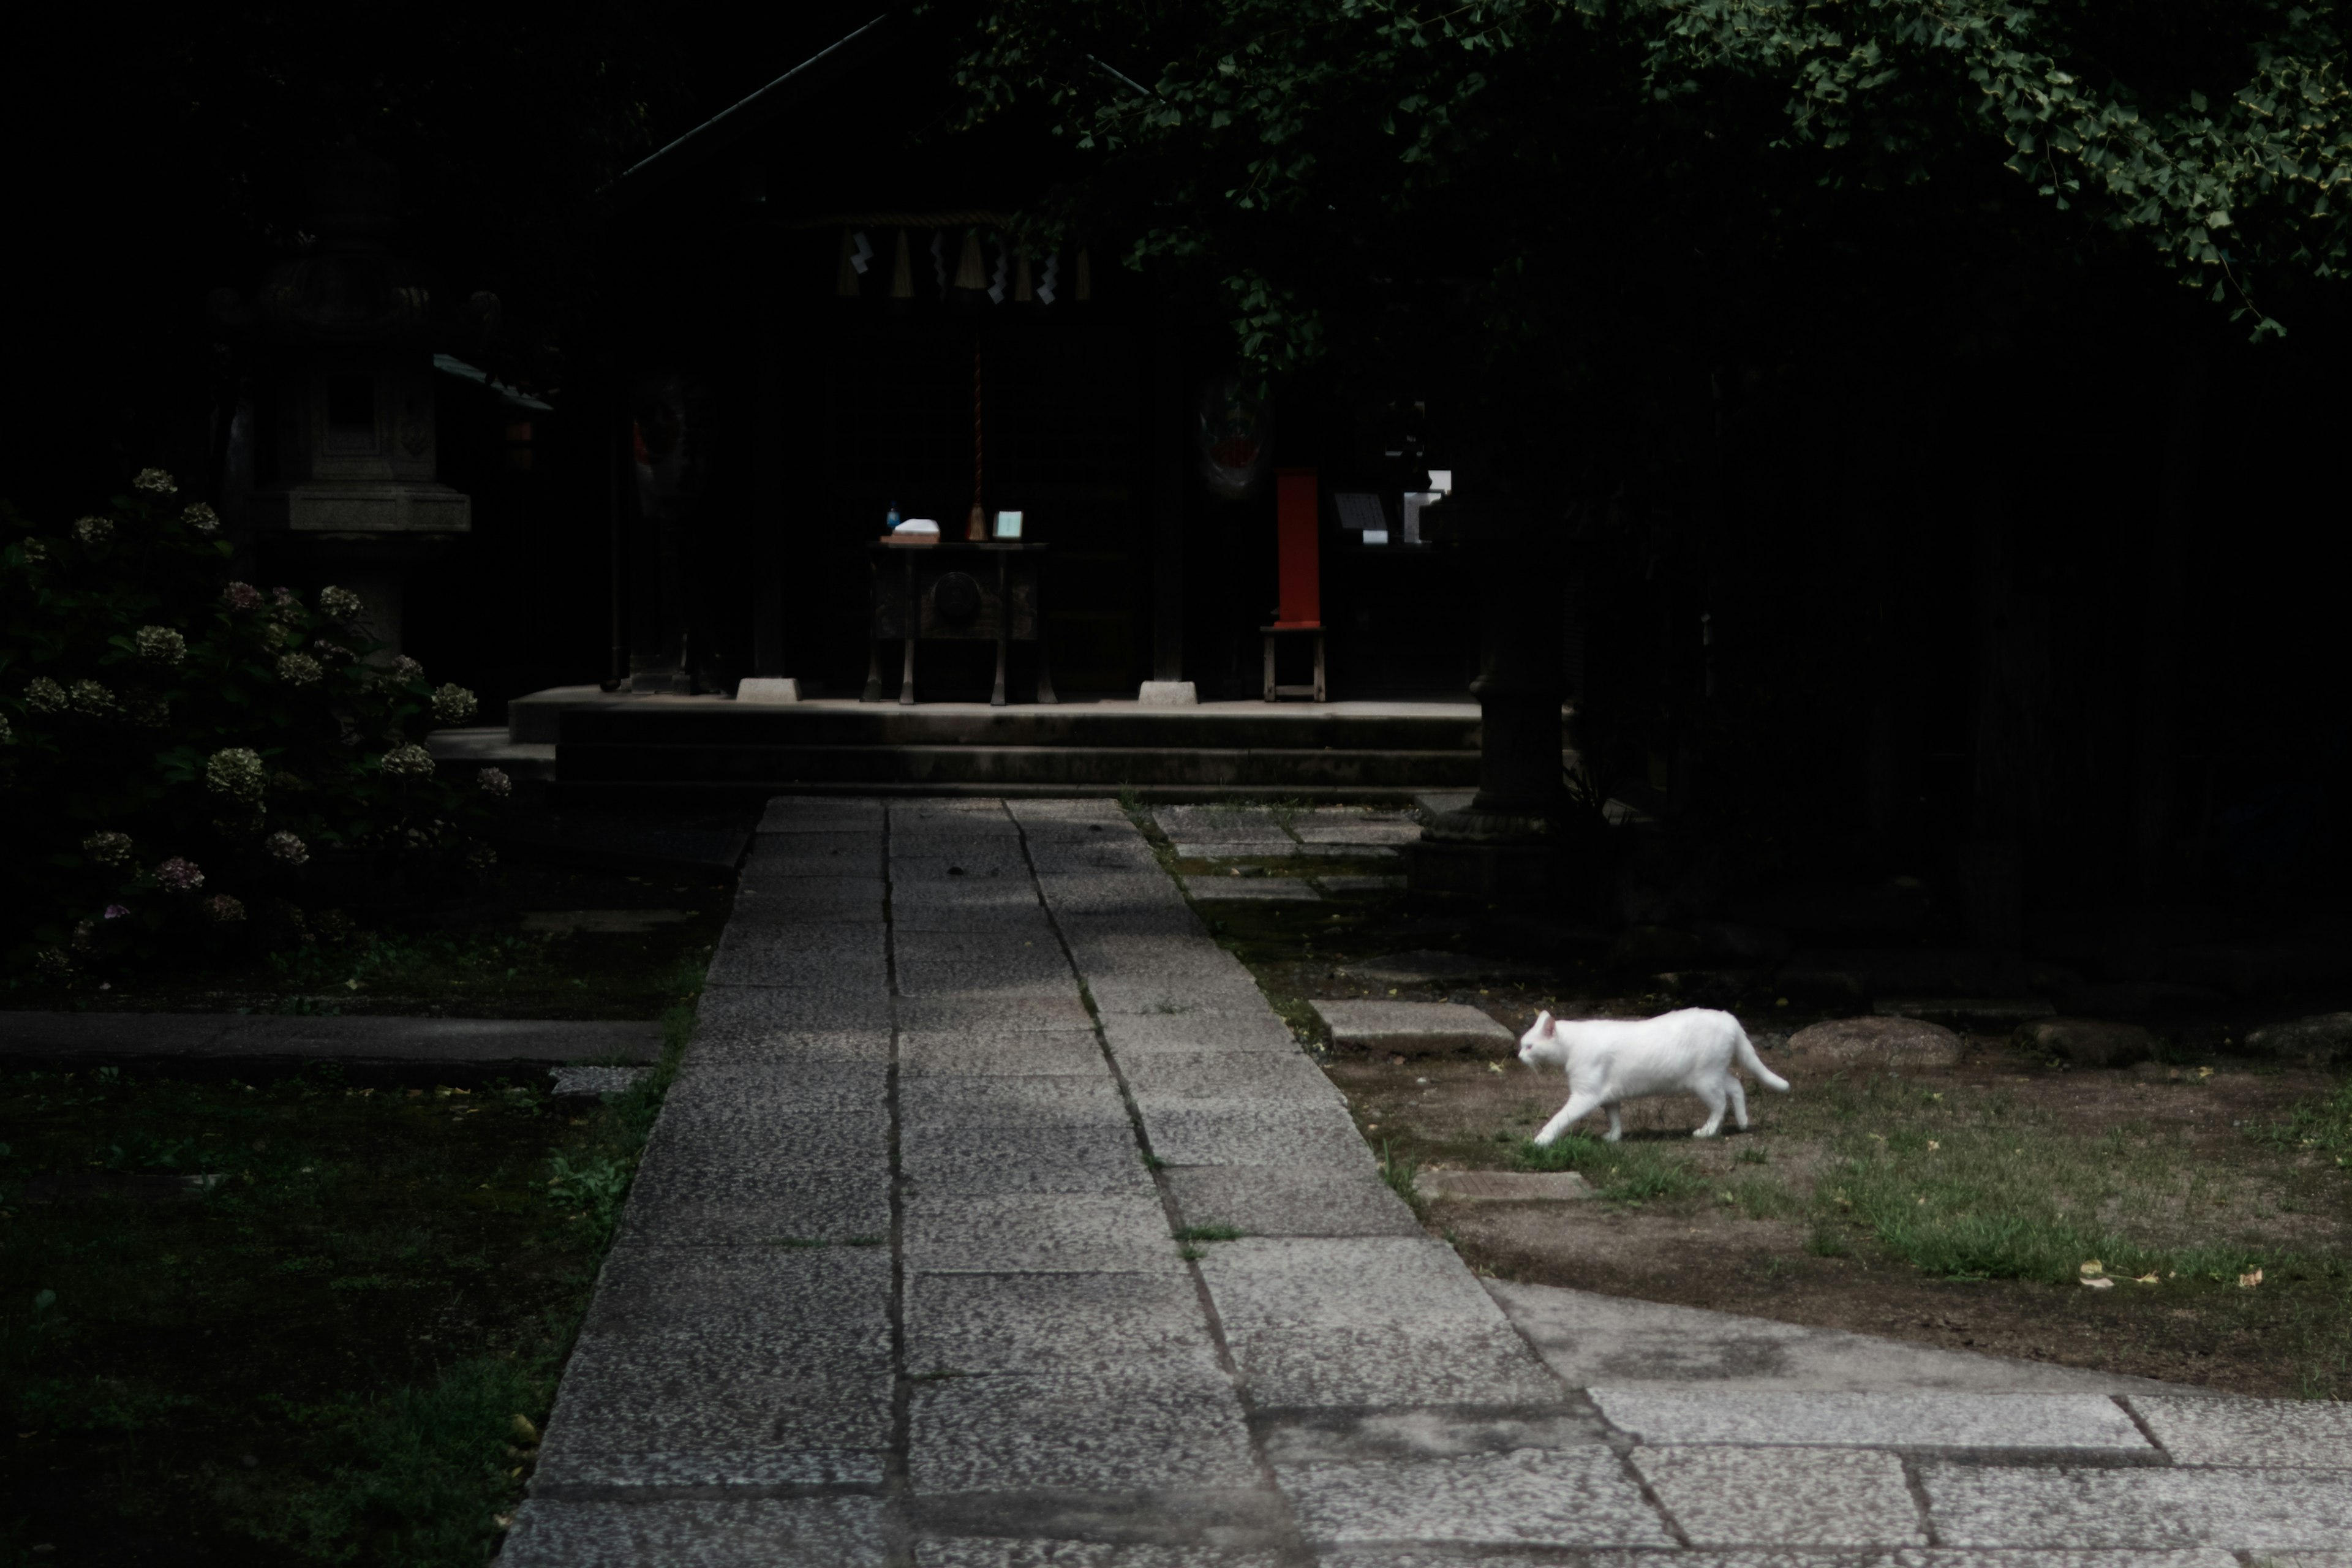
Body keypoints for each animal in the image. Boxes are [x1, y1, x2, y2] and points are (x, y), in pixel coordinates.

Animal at [1514, 1011, 1787, 1147]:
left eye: (1529, 1047)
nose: (1519, 1056)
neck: (1571, 1047)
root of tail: (1728, 1017)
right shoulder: (1607, 1095)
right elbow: (1614, 1117)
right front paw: (1614, 1138)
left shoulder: (1585, 1096)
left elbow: (1559, 1118)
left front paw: (1542, 1139)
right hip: (1714, 1074)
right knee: (1737, 1087)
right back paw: (1742, 1122)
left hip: (1705, 1081)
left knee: (1720, 1104)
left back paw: (1707, 1132)